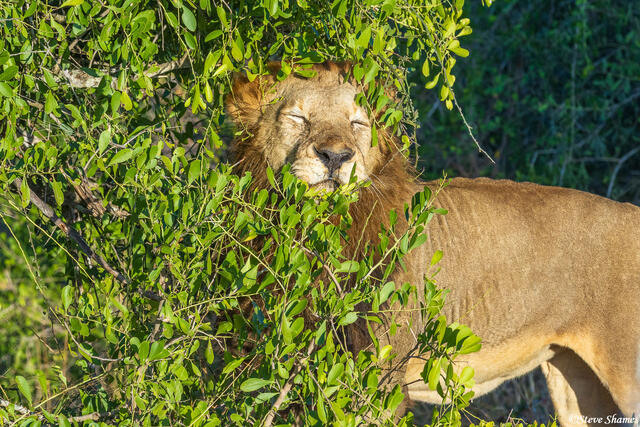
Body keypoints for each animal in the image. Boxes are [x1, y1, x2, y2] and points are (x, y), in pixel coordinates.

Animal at [226, 62, 640, 426]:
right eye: (298, 118)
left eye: (357, 123)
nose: (336, 157)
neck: (320, 232)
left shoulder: (376, 377)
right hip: (577, 386)